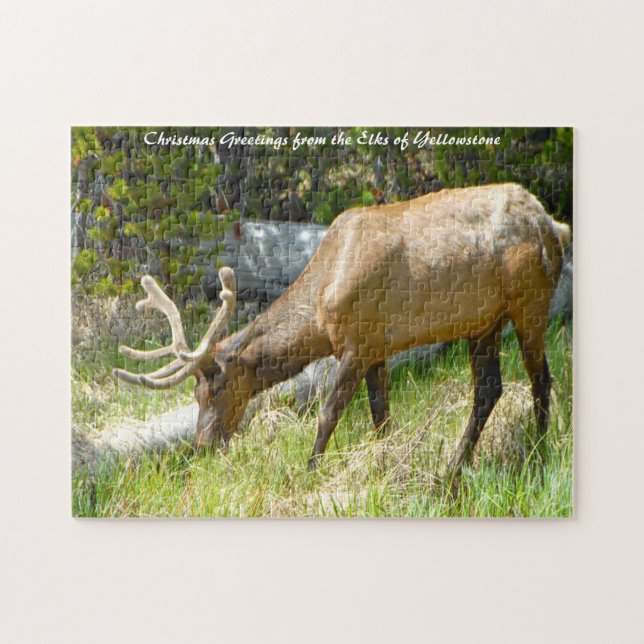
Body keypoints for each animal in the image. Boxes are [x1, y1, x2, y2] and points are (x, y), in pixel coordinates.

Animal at [114, 183, 571, 474]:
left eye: (216, 387)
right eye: (194, 394)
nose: (203, 445)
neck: (320, 311)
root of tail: (553, 226)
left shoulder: (358, 343)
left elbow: (327, 415)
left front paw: (309, 471)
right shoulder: (378, 347)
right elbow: (381, 416)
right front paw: (386, 464)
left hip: (530, 302)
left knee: (541, 378)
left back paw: (539, 452)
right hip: (484, 322)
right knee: (489, 389)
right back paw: (455, 466)